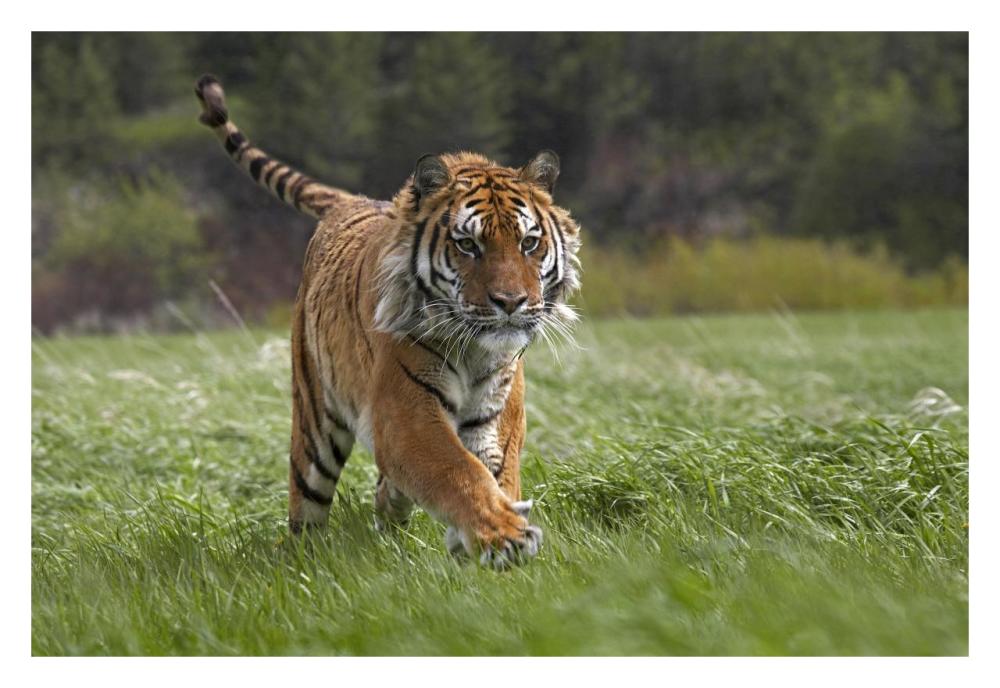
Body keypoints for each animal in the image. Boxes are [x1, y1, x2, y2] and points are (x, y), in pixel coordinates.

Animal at [194, 74, 581, 568]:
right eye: (468, 245)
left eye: (529, 242)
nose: (510, 302)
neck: (475, 350)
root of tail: (351, 201)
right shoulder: (405, 413)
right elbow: (459, 470)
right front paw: (504, 535)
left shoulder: (498, 415)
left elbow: (492, 473)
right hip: (314, 423)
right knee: (307, 507)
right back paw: (303, 560)